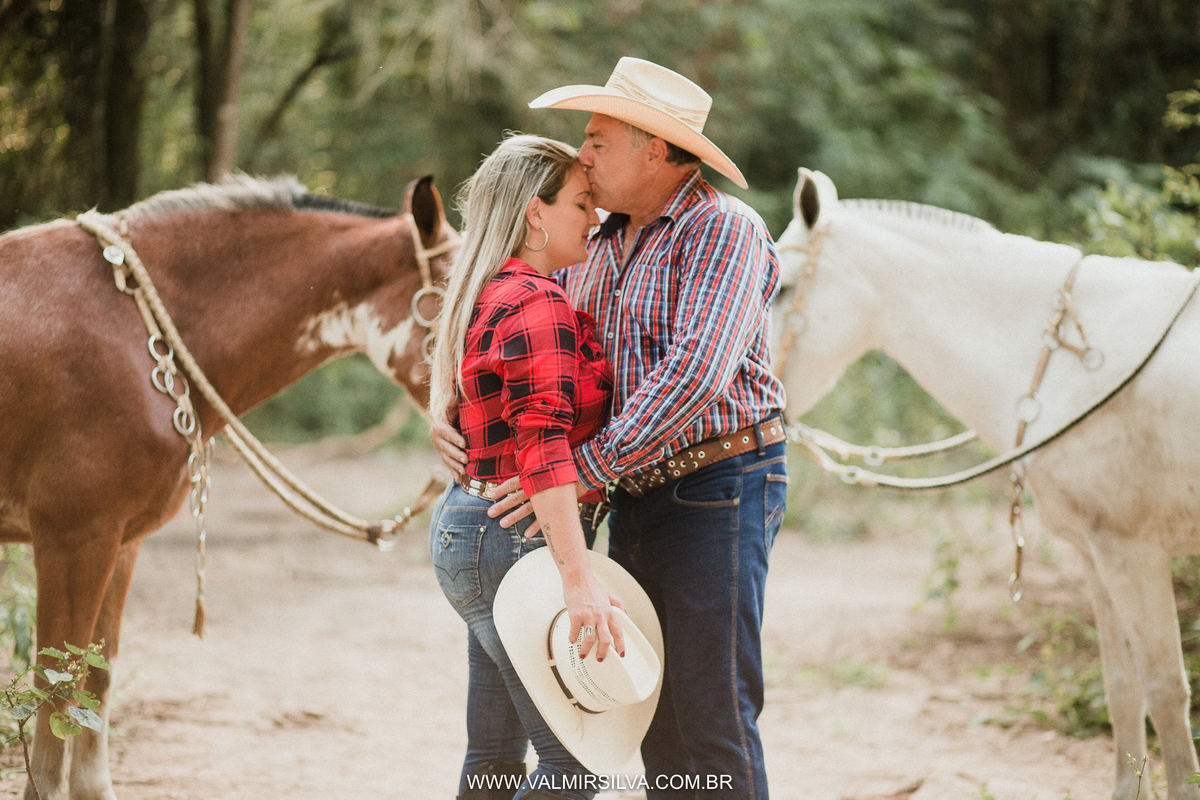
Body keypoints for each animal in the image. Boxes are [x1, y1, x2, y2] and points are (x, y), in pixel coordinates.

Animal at [773, 168, 1200, 800]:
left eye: (778, 288)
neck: (1069, 364)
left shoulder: (1134, 552)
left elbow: (1166, 690)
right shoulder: (1097, 556)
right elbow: (1122, 688)